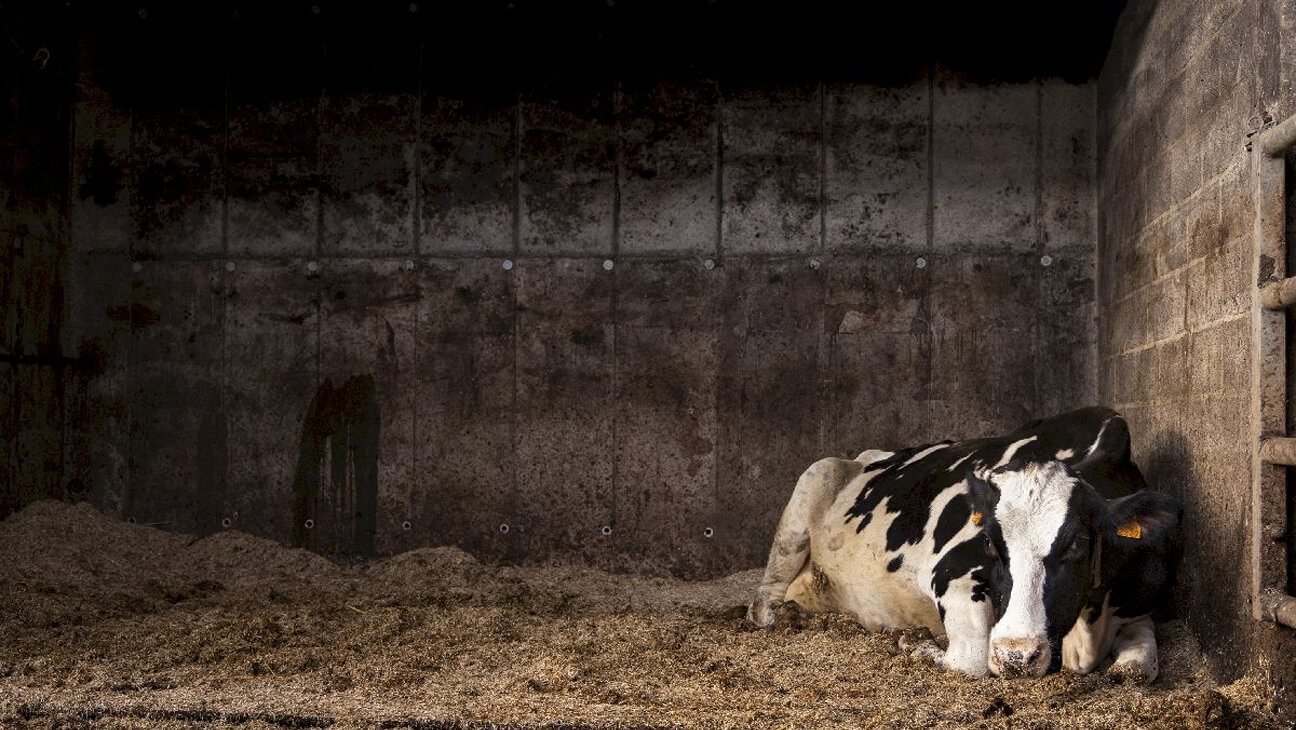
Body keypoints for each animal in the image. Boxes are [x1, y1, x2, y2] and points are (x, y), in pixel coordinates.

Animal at [747, 407, 1182, 680]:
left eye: (1076, 544)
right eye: (989, 541)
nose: (1016, 655)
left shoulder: (1138, 607)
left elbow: (1135, 669)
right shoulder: (952, 572)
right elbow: (971, 658)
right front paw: (917, 646)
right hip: (814, 479)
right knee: (764, 599)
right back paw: (781, 615)